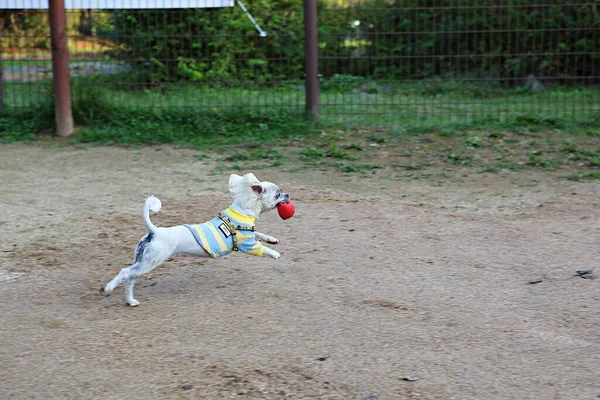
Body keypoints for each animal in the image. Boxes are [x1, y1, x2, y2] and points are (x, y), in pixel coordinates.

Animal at [100, 172, 288, 306]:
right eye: (277, 194)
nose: (287, 194)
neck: (242, 211)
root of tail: (155, 231)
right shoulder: (247, 245)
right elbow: (261, 248)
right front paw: (275, 253)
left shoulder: (250, 235)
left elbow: (260, 234)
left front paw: (272, 239)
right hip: (151, 261)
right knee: (125, 273)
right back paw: (107, 289)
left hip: (142, 260)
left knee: (130, 278)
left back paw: (130, 301)